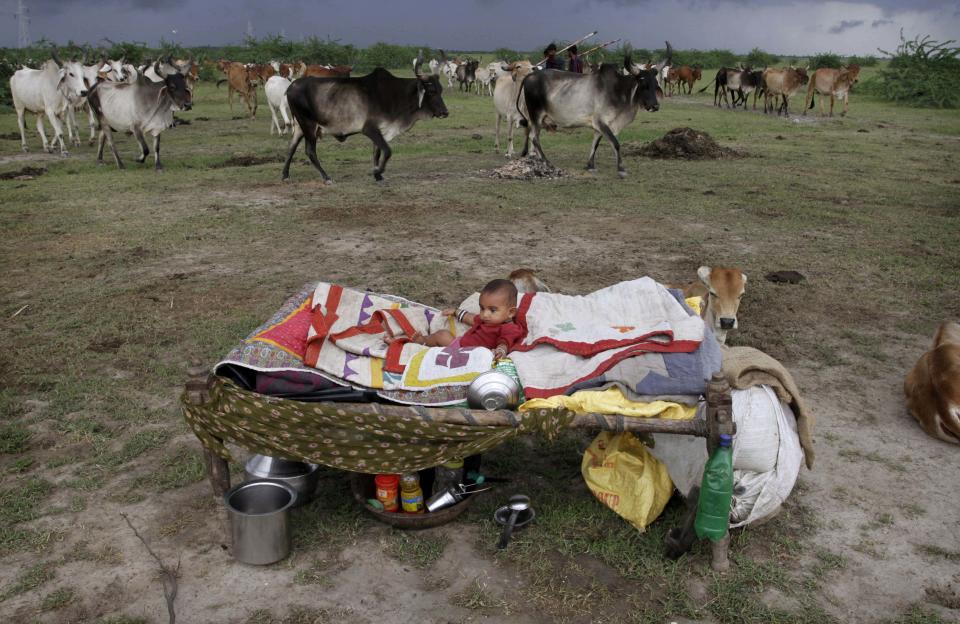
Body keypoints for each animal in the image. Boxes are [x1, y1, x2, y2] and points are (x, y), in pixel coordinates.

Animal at [282, 51, 450, 183]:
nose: (445, 112)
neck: (396, 95)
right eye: (431, 91)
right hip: (308, 125)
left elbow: (377, 151)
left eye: (441, 90)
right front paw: (377, 171)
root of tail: (291, 87)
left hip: (300, 126)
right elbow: (387, 151)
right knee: (310, 151)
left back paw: (285, 175)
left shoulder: (381, 130)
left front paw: (378, 176)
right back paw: (326, 177)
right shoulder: (369, 129)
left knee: (291, 147)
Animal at [520, 41, 672, 178]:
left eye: (655, 84)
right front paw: (621, 169)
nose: (655, 106)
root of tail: (529, 76)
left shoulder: (599, 125)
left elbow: (595, 143)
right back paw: (546, 161)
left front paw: (590, 165)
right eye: (643, 84)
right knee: (534, 137)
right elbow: (615, 143)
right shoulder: (601, 122)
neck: (617, 90)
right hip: (536, 115)